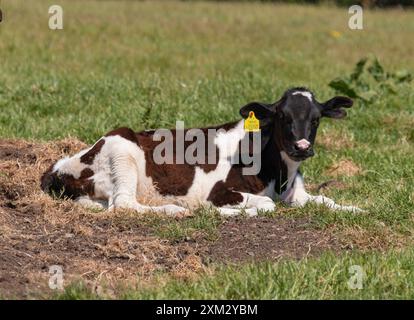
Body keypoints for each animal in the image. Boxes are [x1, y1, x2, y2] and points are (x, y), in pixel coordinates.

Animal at [40, 87, 360, 215]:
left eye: (316, 119)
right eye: (283, 117)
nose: (301, 147)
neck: (279, 175)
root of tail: (56, 168)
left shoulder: (298, 193)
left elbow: (328, 200)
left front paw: (356, 209)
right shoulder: (219, 191)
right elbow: (267, 204)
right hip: (122, 148)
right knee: (124, 204)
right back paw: (175, 210)